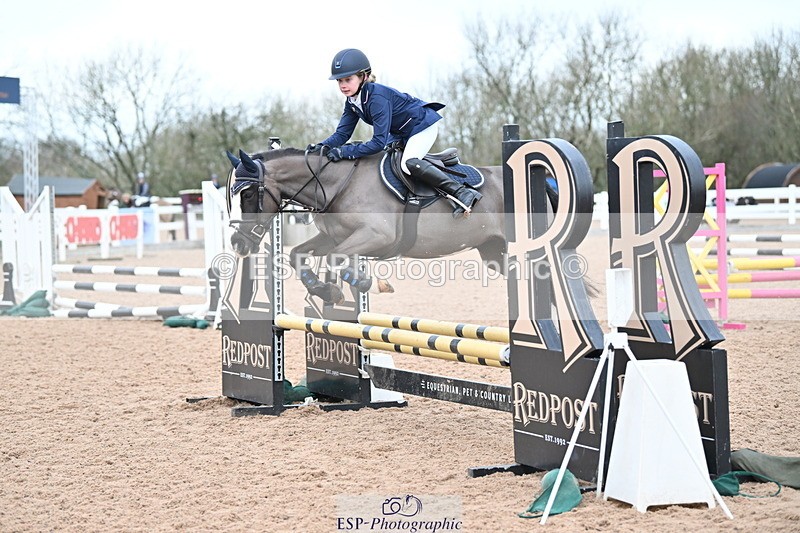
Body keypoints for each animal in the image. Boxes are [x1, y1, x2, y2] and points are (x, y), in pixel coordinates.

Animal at [224, 147, 552, 304]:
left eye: (249, 194)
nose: (238, 244)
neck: (335, 185)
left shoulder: (377, 236)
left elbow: (335, 259)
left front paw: (367, 283)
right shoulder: (333, 237)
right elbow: (298, 255)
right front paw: (327, 291)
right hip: (494, 251)